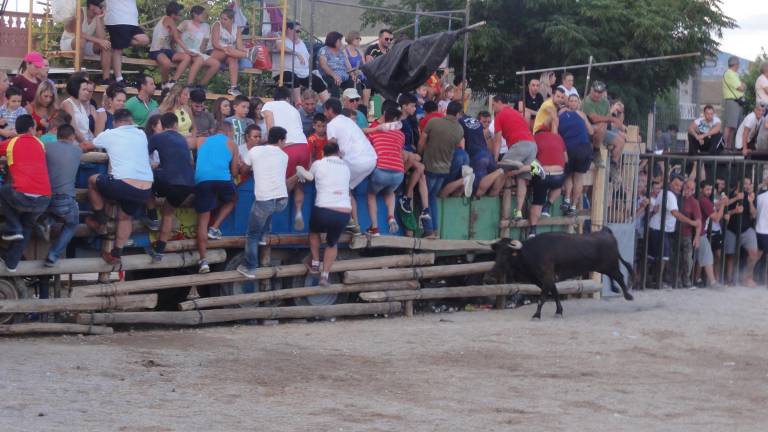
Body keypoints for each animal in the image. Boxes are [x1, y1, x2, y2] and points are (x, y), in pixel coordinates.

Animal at [484, 230, 632, 318]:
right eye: (496, 254)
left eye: (507, 254)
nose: (490, 276)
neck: (530, 252)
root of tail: (606, 232)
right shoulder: (543, 280)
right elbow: (554, 293)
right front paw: (559, 311)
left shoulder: (547, 277)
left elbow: (542, 297)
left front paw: (537, 315)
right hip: (605, 267)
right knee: (615, 277)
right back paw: (617, 290)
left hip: (610, 265)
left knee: (620, 276)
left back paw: (628, 295)